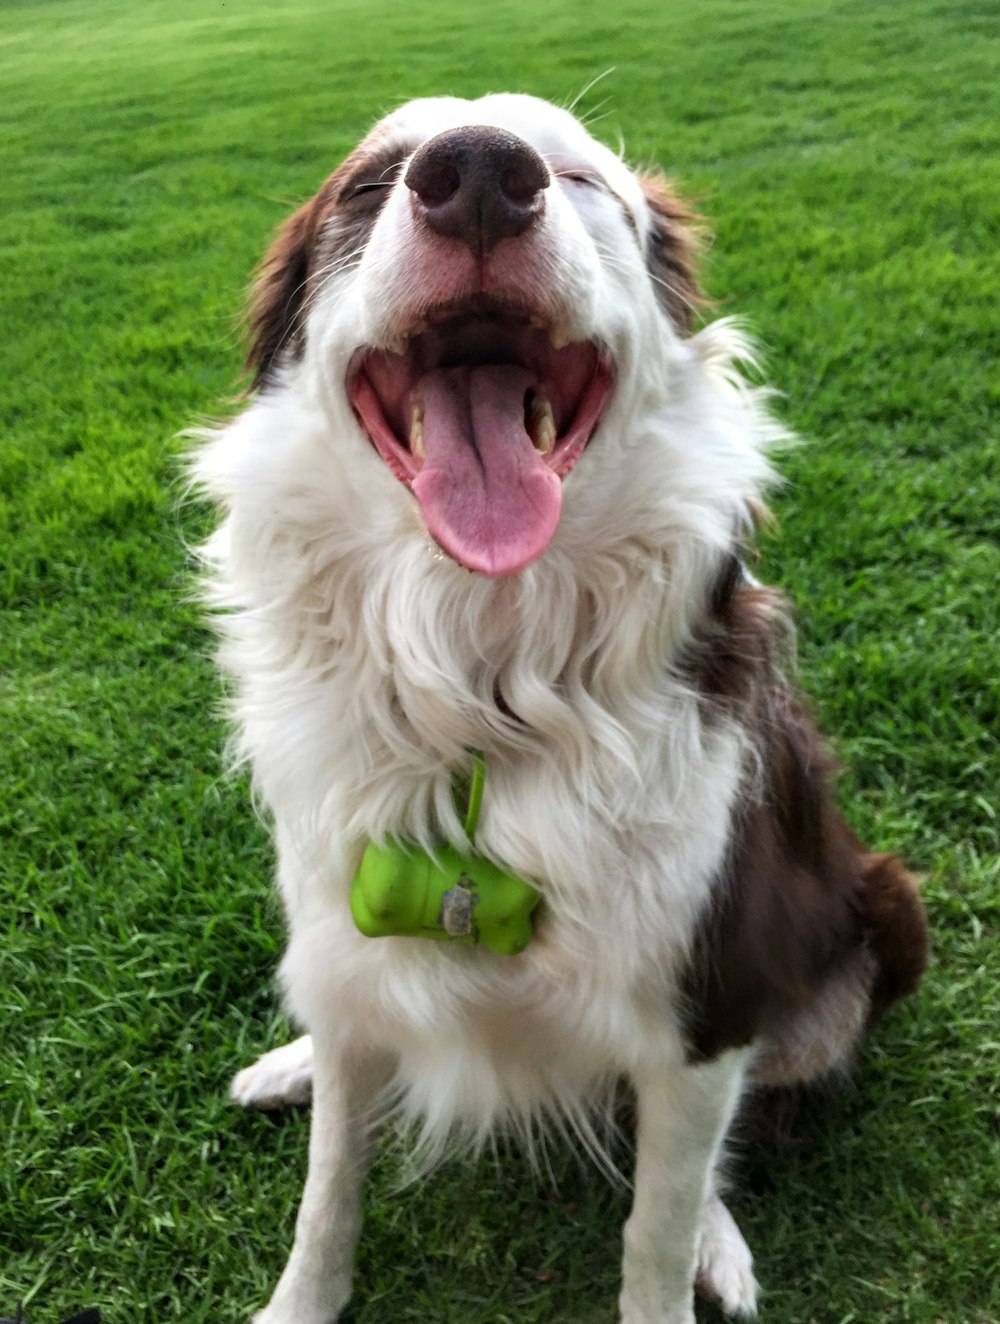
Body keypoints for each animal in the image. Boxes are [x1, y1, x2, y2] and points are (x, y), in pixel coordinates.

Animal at [189, 95, 932, 1324]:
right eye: (370, 183)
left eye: (583, 179)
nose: (482, 174)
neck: (484, 690)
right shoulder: (343, 925)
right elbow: (329, 1184)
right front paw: (299, 1299)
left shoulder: (706, 992)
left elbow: (656, 1223)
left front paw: (685, 1258)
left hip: (879, 914)